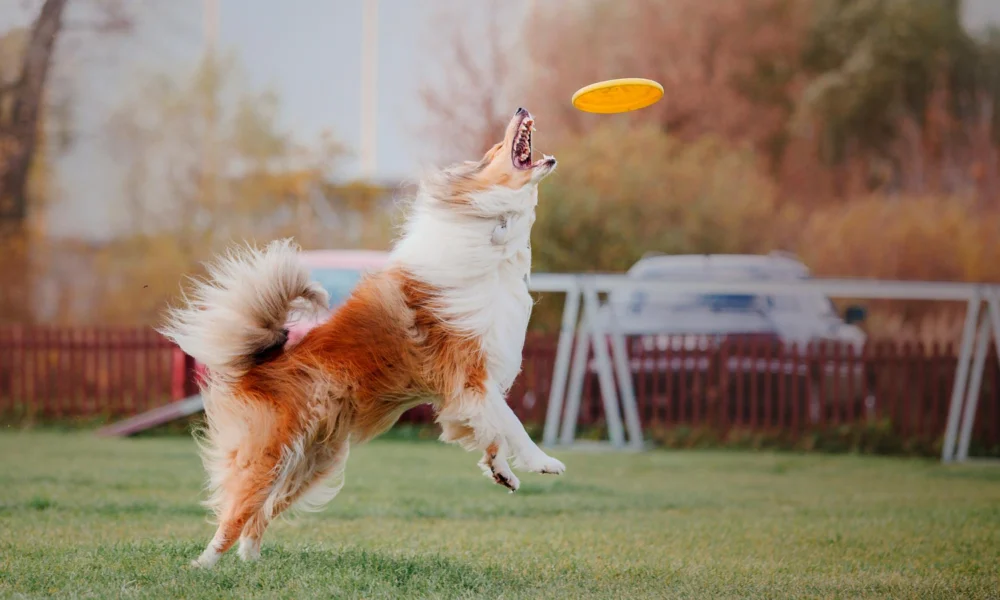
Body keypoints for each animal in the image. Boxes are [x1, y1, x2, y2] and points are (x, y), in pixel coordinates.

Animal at [160, 109, 560, 568]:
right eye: (495, 150)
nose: (520, 109)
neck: (489, 227)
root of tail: (258, 367)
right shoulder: (470, 372)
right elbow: (511, 423)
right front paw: (542, 462)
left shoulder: (471, 385)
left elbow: (493, 427)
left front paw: (502, 471)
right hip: (271, 454)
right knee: (236, 513)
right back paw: (204, 565)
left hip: (312, 462)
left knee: (259, 516)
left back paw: (252, 563)